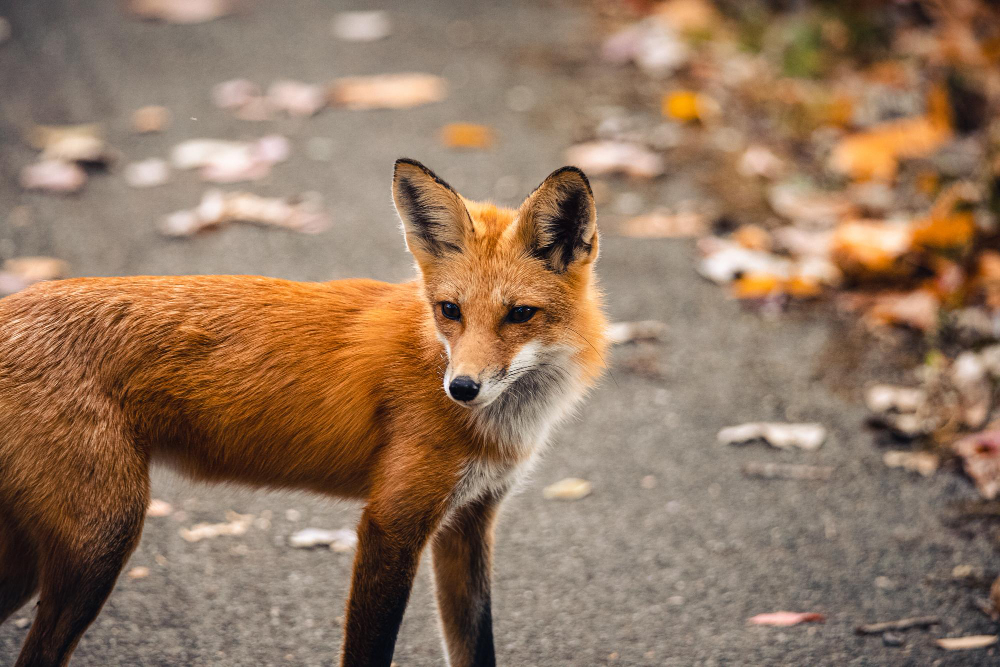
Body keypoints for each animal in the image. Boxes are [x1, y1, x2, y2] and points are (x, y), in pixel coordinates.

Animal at [0, 159, 607, 667]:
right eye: (450, 310)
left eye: (520, 314)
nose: (461, 388)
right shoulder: (391, 523)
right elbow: (369, 652)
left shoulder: (469, 521)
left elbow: (475, 648)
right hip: (100, 542)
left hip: (36, 560)